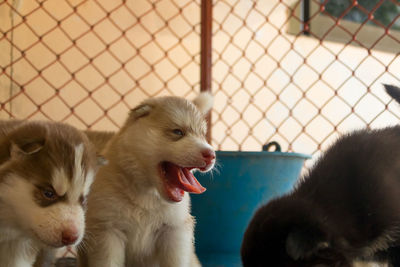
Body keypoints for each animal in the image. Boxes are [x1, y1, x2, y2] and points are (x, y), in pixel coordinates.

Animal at [79, 92, 216, 267]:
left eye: (202, 135)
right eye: (178, 132)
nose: (211, 155)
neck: (147, 195)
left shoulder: (174, 232)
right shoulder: (109, 233)